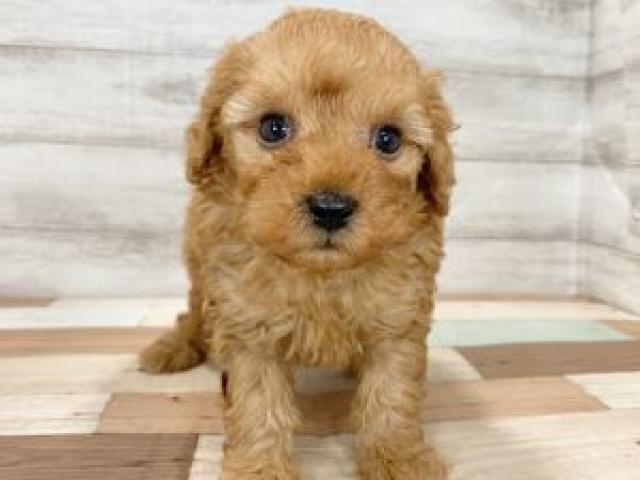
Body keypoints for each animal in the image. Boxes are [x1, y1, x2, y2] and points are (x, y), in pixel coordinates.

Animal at [140, 8, 454, 479]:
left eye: (388, 139)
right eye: (274, 128)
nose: (331, 208)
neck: (320, 274)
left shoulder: (398, 317)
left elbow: (392, 392)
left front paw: (398, 458)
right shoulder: (248, 323)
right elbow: (257, 403)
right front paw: (259, 468)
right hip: (199, 268)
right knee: (192, 314)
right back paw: (172, 348)